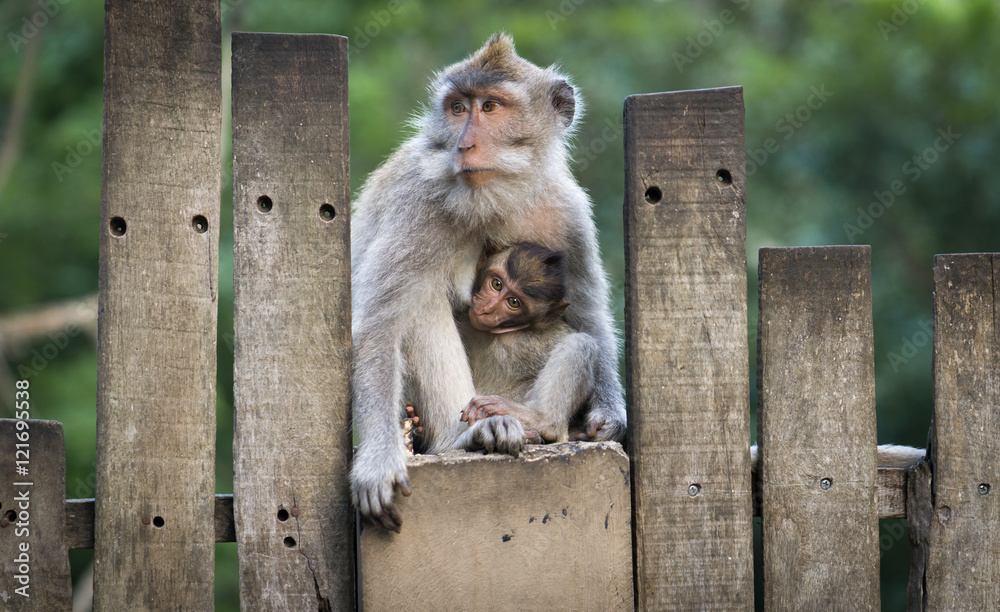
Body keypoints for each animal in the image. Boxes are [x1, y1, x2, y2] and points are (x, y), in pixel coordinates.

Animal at [350, 34, 626, 532]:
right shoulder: (417, 204)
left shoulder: (567, 211)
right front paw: (378, 462)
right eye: (458, 108)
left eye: (491, 107)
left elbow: (587, 313)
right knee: (420, 301)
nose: (465, 144)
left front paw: (609, 414)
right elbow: (380, 323)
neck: (493, 198)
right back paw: (465, 438)